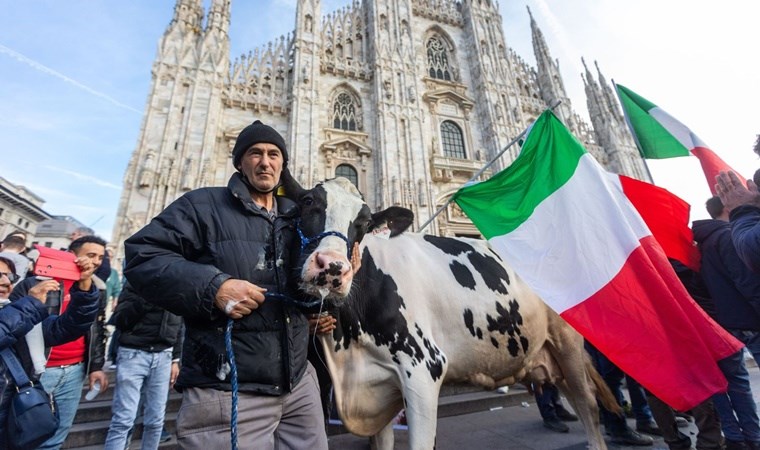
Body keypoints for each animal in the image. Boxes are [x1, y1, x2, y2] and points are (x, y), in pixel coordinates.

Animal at [284, 174, 616, 448]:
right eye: (308, 202)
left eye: (364, 223)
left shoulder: (423, 369)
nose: (331, 268)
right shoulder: (375, 392)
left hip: (568, 343)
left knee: (588, 404)